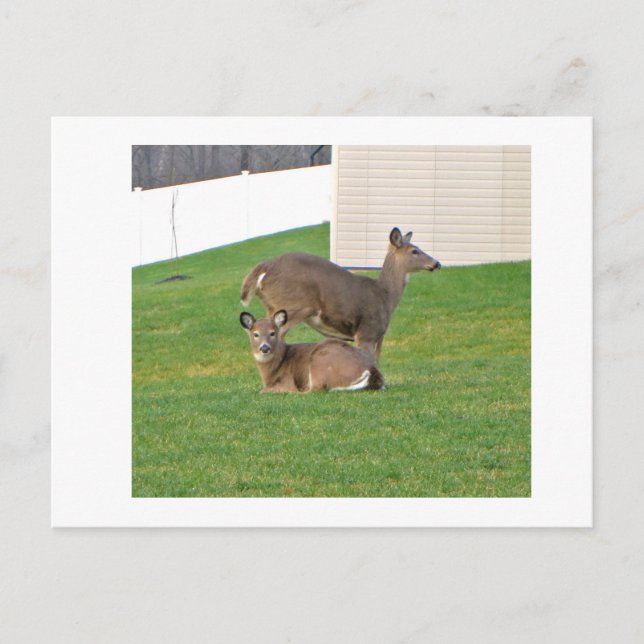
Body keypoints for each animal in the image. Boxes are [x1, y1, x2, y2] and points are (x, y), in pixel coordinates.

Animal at [240, 227, 441, 361]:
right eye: (415, 251)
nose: (436, 263)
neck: (385, 295)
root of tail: (263, 268)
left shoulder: (380, 334)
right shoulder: (367, 330)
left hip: (273, 306)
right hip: (294, 305)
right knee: (278, 334)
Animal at [240, 310, 384, 393]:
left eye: (272, 333)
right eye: (255, 334)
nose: (264, 348)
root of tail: (372, 369)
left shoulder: (287, 379)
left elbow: (264, 391)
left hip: (319, 361)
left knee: (315, 389)